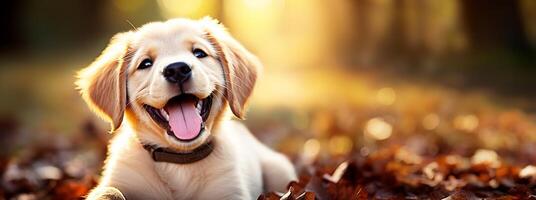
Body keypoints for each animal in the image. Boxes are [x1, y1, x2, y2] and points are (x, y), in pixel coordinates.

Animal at [77, 17, 298, 200]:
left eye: (199, 53)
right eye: (145, 63)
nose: (177, 70)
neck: (180, 161)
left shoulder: (228, 189)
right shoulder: (123, 178)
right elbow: (109, 191)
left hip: (279, 169)